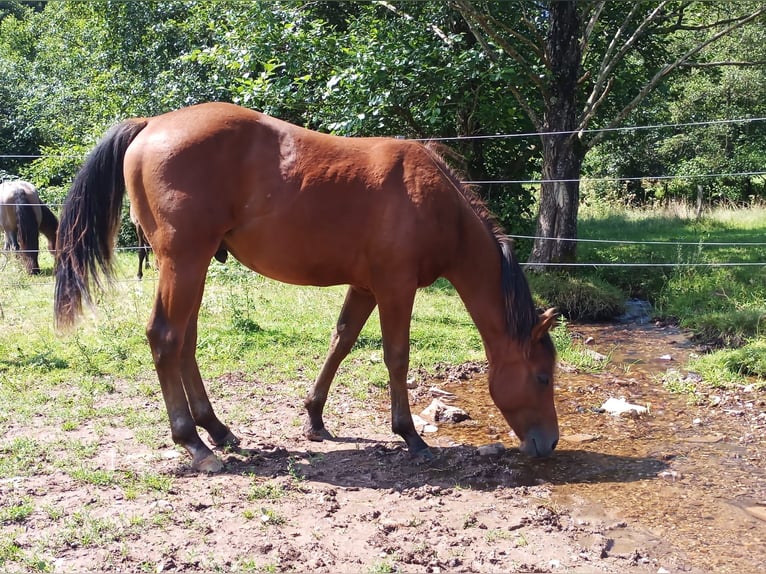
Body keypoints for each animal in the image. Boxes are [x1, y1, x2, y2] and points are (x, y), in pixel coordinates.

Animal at [52, 102, 560, 472]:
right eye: (542, 376)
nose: (549, 443)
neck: (434, 201)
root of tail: (150, 124)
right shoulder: (396, 287)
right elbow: (396, 357)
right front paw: (410, 434)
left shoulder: (366, 287)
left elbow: (341, 341)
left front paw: (315, 417)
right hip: (184, 262)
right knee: (165, 337)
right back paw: (194, 443)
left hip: (191, 266)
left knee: (185, 342)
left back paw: (217, 429)